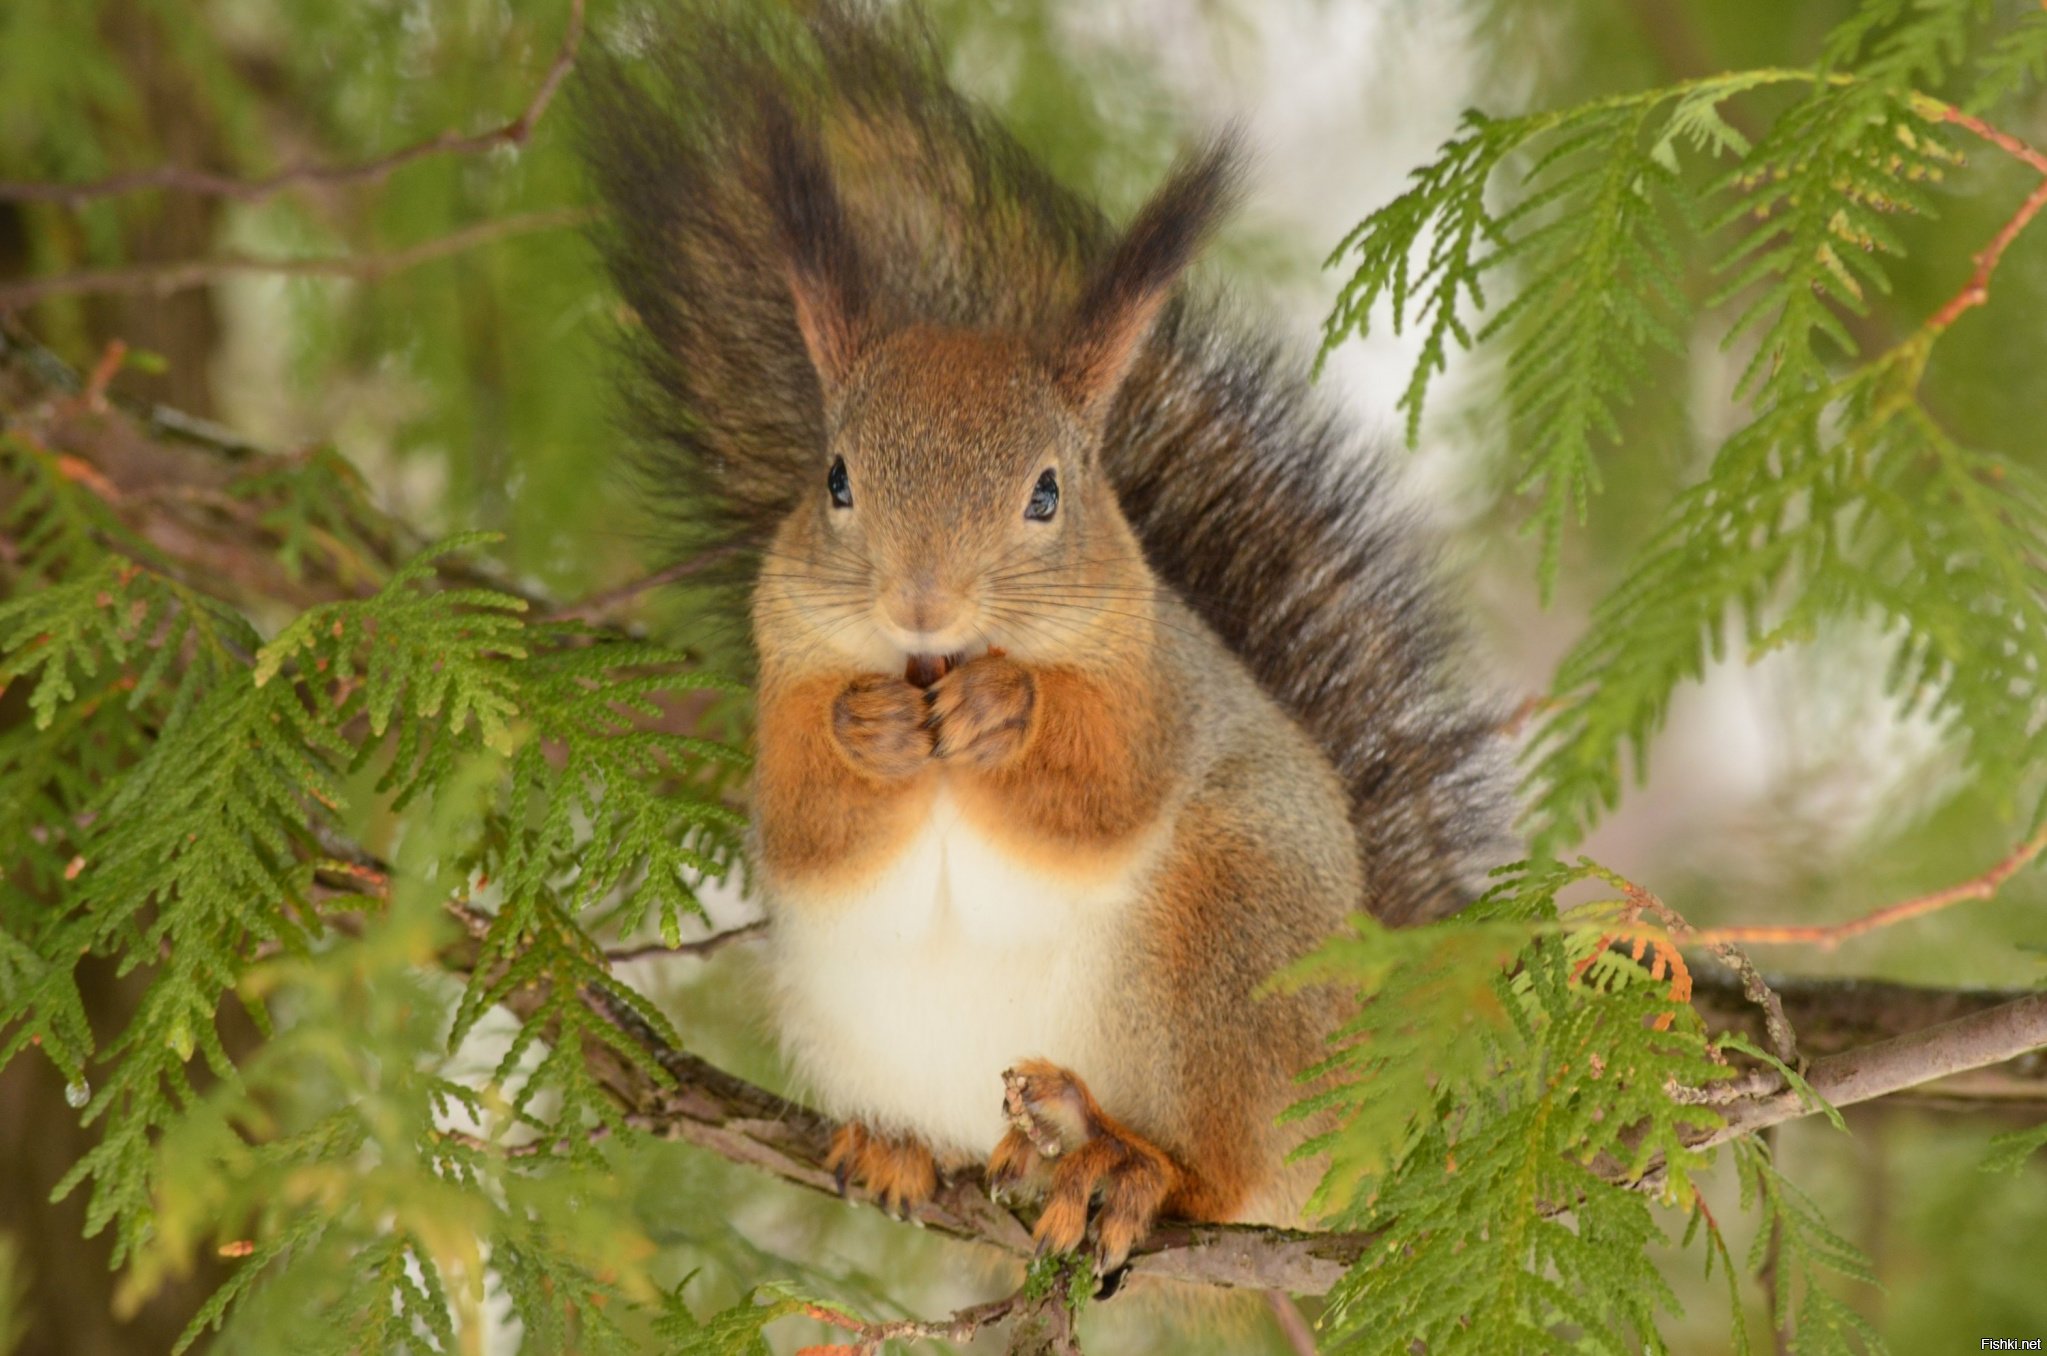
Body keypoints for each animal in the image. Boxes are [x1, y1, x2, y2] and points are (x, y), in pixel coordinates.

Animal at [577, 0, 1506, 1278]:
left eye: (1050, 494)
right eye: (836, 479)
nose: (921, 604)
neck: (936, 665)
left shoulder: (1155, 686)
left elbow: (1098, 796)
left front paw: (1002, 713)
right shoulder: (785, 673)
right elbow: (811, 826)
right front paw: (867, 729)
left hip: (1226, 954)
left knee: (1223, 1166)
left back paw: (1127, 1165)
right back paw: (911, 1148)